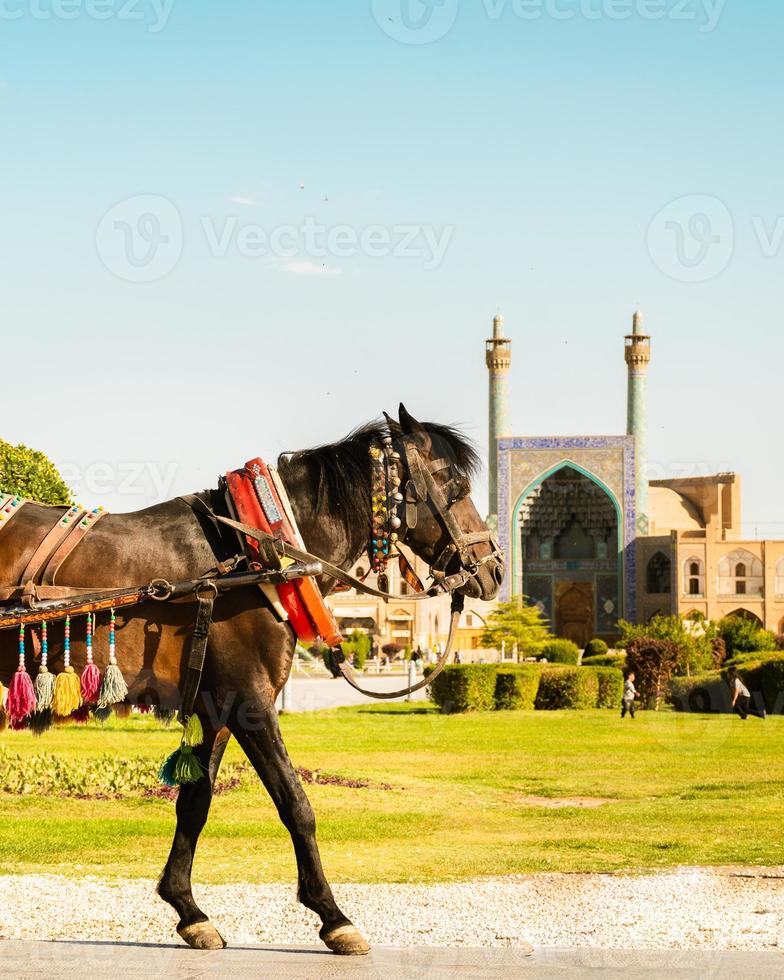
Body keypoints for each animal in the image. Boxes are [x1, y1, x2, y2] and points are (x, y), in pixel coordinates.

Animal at [0, 406, 502, 956]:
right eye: (455, 485)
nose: (494, 568)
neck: (257, 555)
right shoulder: (250, 699)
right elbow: (295, 802)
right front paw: (333, 916)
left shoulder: (215, 706)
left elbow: (195, 804)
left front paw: (188, 909)